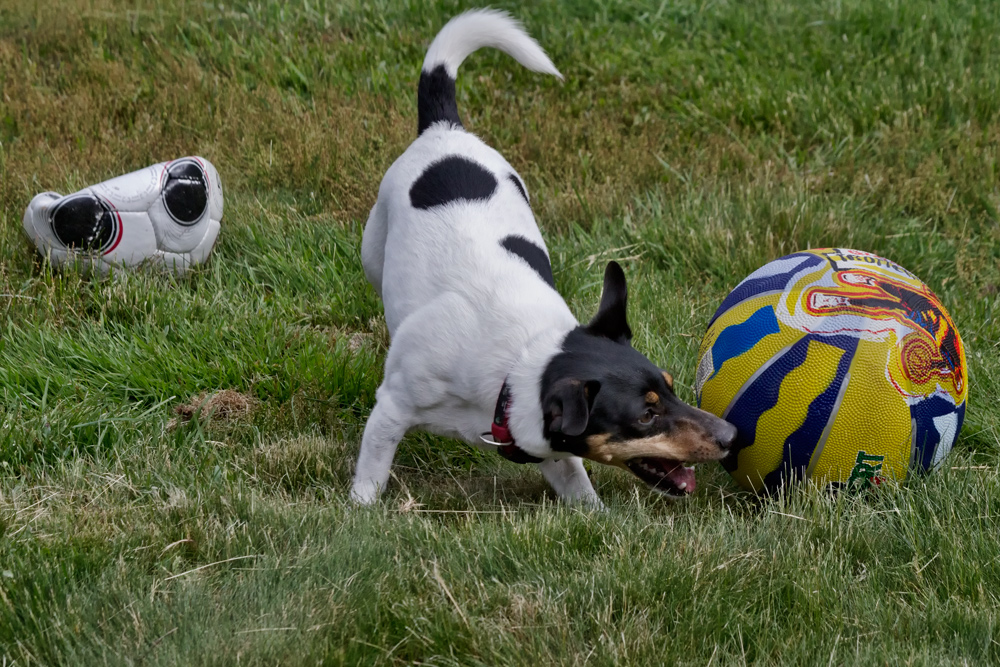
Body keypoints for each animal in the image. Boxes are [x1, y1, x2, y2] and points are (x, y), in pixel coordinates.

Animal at [352, 7, 736, 506]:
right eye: (645, 416)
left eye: (671, 389)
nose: (732, 435)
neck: (518, 365)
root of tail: (444, 129)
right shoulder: (392, 409)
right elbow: (372, 473)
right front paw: (359, 511)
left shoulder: (546, 446)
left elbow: (575, 481)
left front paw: (594, 513)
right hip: (371, 252)